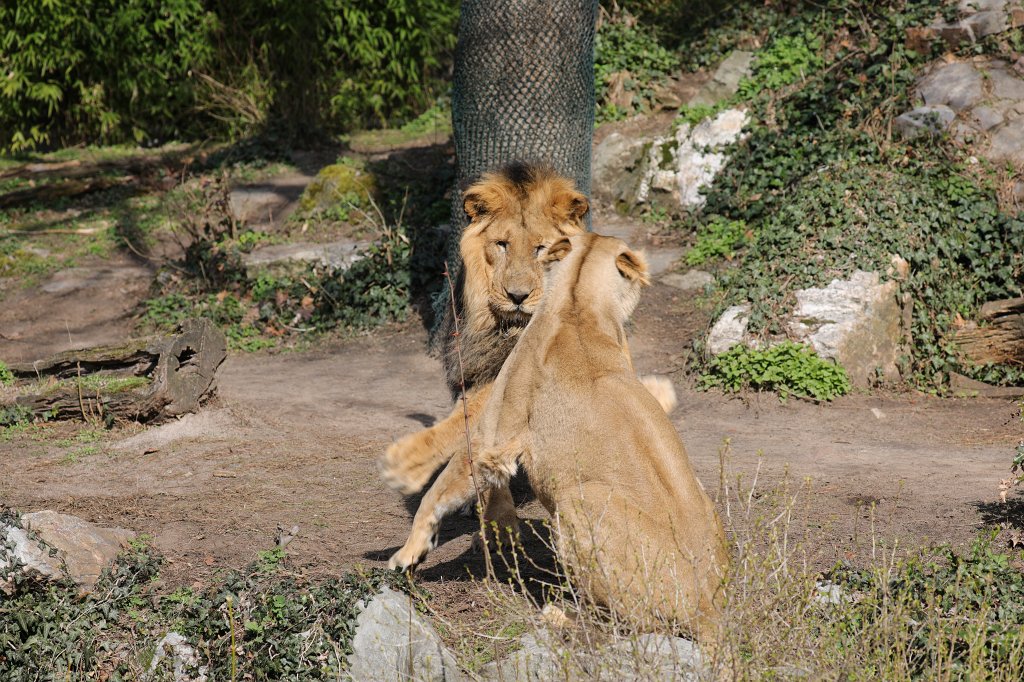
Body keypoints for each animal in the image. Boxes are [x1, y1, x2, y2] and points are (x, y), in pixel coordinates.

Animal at [389, 233, 728, 637]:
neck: (578, 298)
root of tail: (709, 608)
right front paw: (496, 532)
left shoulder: (492, 434)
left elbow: (439, 492)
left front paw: (406, 555)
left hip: (578, 500)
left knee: (623, 624)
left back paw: (558, 615)